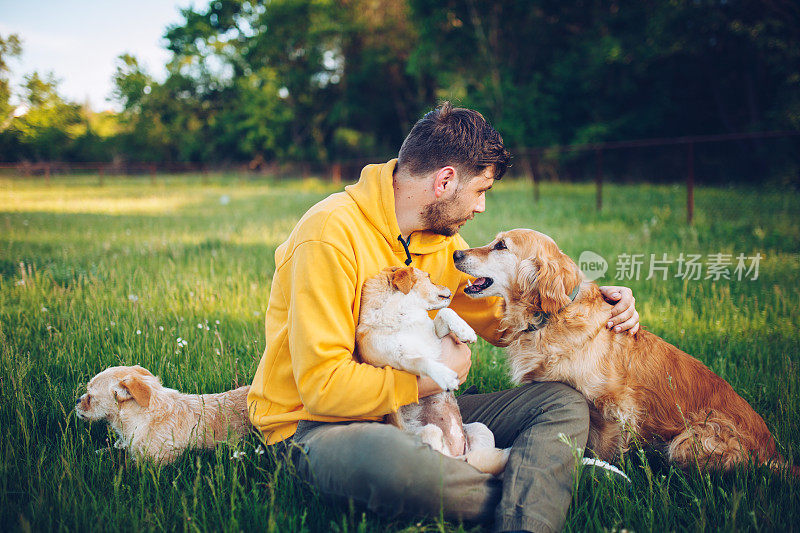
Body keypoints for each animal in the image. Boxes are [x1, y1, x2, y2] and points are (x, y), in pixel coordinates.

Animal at [354, 266, 506, 474]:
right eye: (428, 277)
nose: (450, 288)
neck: (404, 316)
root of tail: (456, 447)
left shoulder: (436, 338)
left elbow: (446, 312)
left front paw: (465, 330)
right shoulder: (399, 360)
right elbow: (423, 360)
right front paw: (446, 376)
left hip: (481, 429)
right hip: (431, 431)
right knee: (450, 459)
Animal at [454, 229, 796, 474]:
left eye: (501, 245)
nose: (457, 252)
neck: (549, 317)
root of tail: (774, 453)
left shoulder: (613, 408)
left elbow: (604, 451)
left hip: (690, 441)